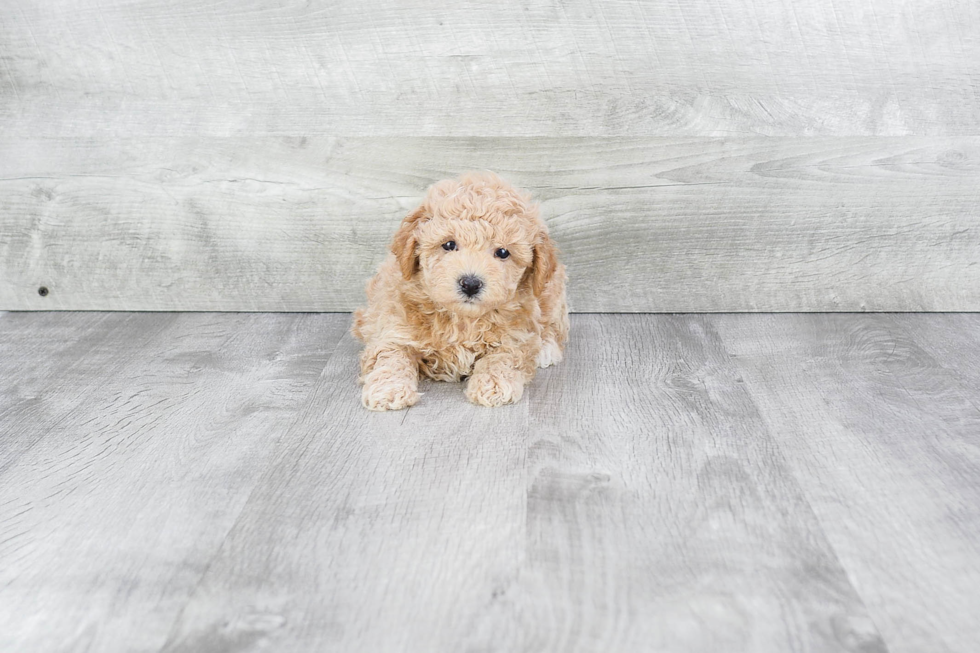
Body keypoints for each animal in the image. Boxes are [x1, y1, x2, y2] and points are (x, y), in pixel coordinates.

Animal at [354, 171, 572, 410]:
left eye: (503, 252)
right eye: (449, 245)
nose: (470, 284)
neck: (462, 319)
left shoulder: (516, 335)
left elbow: (503, 356)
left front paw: (493, 384)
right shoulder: (392, 327)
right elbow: (391, 356)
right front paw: (388, 389)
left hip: (550, 290)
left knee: (552, 324)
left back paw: (546, 349)